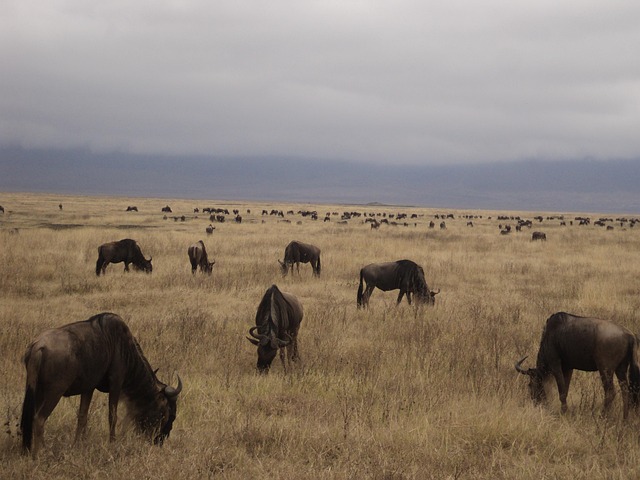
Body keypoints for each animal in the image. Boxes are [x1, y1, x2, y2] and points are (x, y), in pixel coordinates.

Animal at [20, 312, 182, 456]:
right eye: (169, 414)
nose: (160, 440)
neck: (124, 347)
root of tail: (37, 347)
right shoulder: (116, 382)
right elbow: (112, 416)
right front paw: (112, 443)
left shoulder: (89, 388)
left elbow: (82, 417)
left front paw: (78, 445)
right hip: (54, 393)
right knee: (39, 419)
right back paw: (41, 453)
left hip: (38, 392)